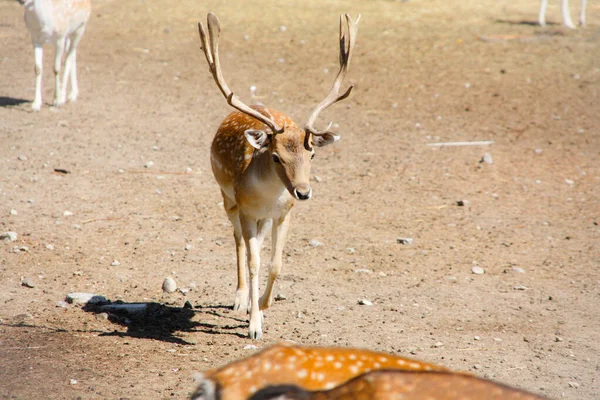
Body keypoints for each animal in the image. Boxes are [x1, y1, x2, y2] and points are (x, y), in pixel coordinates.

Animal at [197, 12, 358, 340]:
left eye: (312, 155)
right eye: (275, 157)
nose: (303, 192)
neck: (268, 197)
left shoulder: (284, 214)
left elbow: (275, 263)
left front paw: (262, 305)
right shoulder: (246, 210)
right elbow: (254, 261)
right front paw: (253, 325)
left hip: (262, 217)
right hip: (227, 199)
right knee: (237, 240)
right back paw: (239, 298)